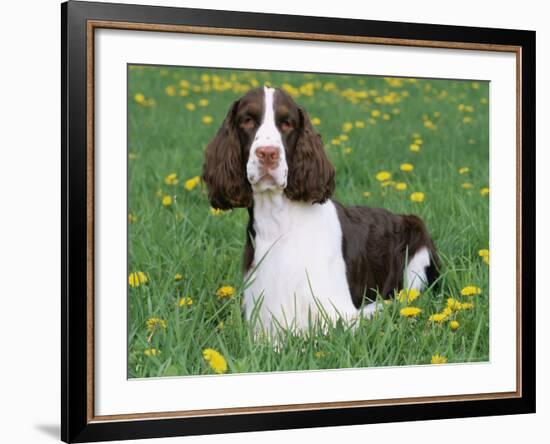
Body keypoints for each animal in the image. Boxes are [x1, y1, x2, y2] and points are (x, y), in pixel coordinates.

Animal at [203, 86, 440, 334]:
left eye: (287, 123)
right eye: (247, 120)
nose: (268, 153)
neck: (279, 223)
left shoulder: (337, 313)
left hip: (418, 247)